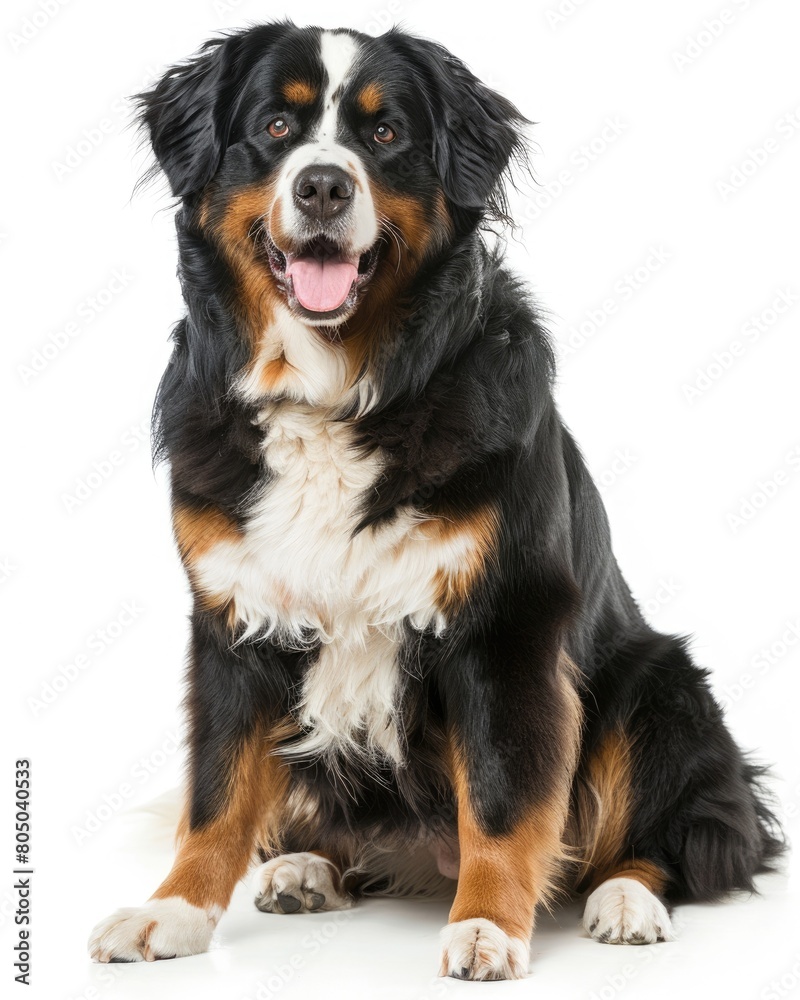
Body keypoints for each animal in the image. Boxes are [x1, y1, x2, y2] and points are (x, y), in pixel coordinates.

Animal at [87, 19, 780, 980]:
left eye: (384, 134)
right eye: (275, 127)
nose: (324, 184)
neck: (336, 396)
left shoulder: (505, 626)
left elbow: (501, 799)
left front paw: (487, 924)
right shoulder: (233, 619)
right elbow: (217, 793)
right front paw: (175, 912)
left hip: (654, 686)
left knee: (689, 836)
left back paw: (626, 899)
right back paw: (308, 868)